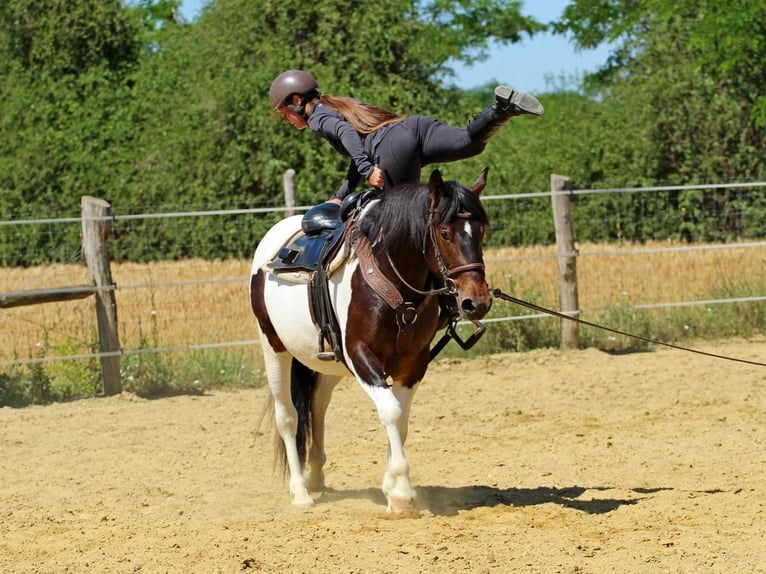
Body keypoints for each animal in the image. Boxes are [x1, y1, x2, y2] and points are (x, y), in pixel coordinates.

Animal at [248, 168, 492, 513]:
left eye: (482, 230)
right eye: (445, 233)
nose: (477, 302)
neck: (393, 282)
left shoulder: (413, 364)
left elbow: (401, 420)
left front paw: (391, 486)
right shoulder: (361, 357)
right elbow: (390, 412)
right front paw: (401, 492)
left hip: (327, 363)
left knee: (317, 404)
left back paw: (315, 475)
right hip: (274, 347)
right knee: (288, 416)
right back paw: (300, 492)